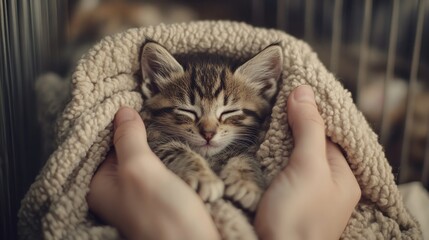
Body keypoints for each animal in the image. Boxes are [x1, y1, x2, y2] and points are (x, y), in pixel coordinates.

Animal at [139, 42, 282, 211]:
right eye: (187, 111)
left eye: (229, 112)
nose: (208, 134)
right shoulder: (151, 135)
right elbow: (175, 148)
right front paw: (204, 178)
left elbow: (245, 156)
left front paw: (247, 184)